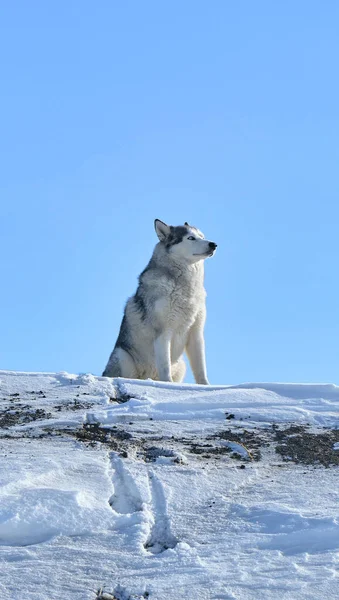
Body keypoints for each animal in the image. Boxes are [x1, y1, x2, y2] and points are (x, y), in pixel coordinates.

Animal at [102, 220, 218, 384]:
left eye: (202, 236)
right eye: (190, 238)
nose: (213, 244)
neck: (185, 287)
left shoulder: (196, 334)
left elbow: (201, 370)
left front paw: (205, 387)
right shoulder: (163, 332)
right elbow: (165, 367)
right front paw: (168, 385)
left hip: (181, 364)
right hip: (123, 356)